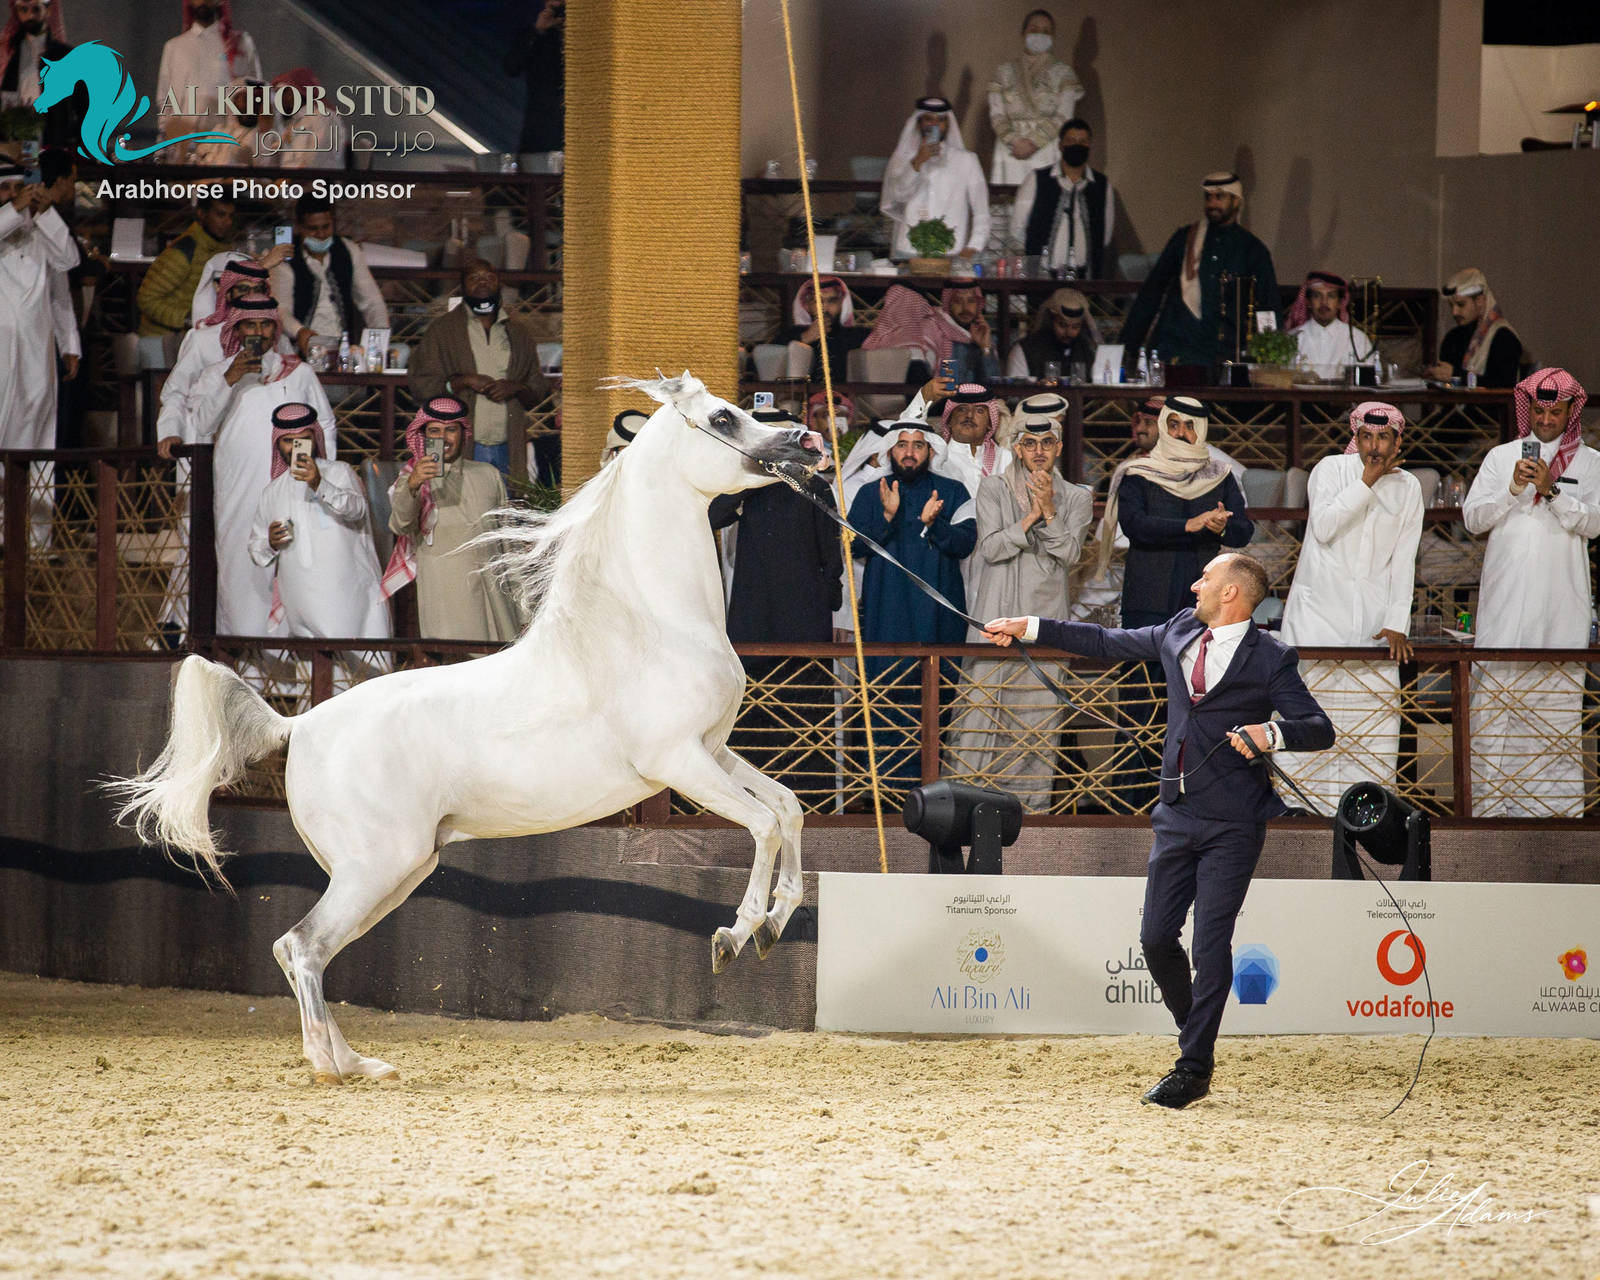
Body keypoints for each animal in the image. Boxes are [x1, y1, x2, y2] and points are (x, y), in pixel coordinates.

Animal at [109, 372, 824, 1083]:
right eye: (724, 418)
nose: (807, 444)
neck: (650, 626)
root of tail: (300, 724)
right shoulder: (679, 762)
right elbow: (762, 824)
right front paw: (736, 937)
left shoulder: (714, 752)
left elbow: (787, 809)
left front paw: (776, 922)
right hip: (377, 868)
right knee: (302, 947)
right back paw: (334, 1065)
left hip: (396, 873)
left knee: (306, 950)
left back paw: (359, 1062)